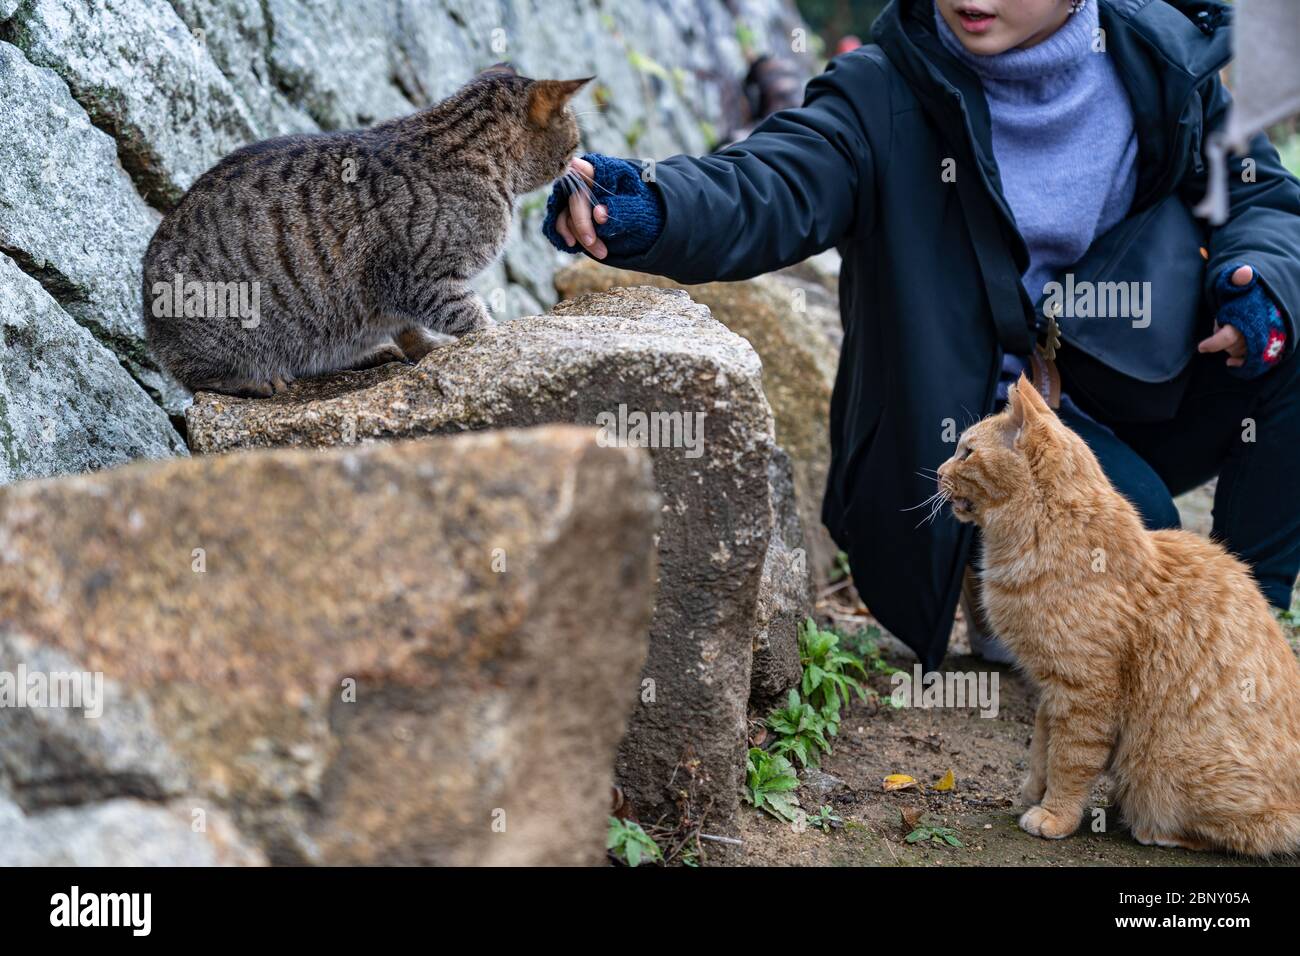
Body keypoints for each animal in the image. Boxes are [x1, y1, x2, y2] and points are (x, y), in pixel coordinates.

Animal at [935, 374, 1300, 858]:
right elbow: (1042, 746)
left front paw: (1055, 815)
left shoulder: (1085, 690)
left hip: (1166, 769)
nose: (938, 471)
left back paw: (1152, 828)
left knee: (1252, 831)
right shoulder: (1051, 687)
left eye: (967, 452)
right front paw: (1034, 792)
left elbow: (1070, 759)